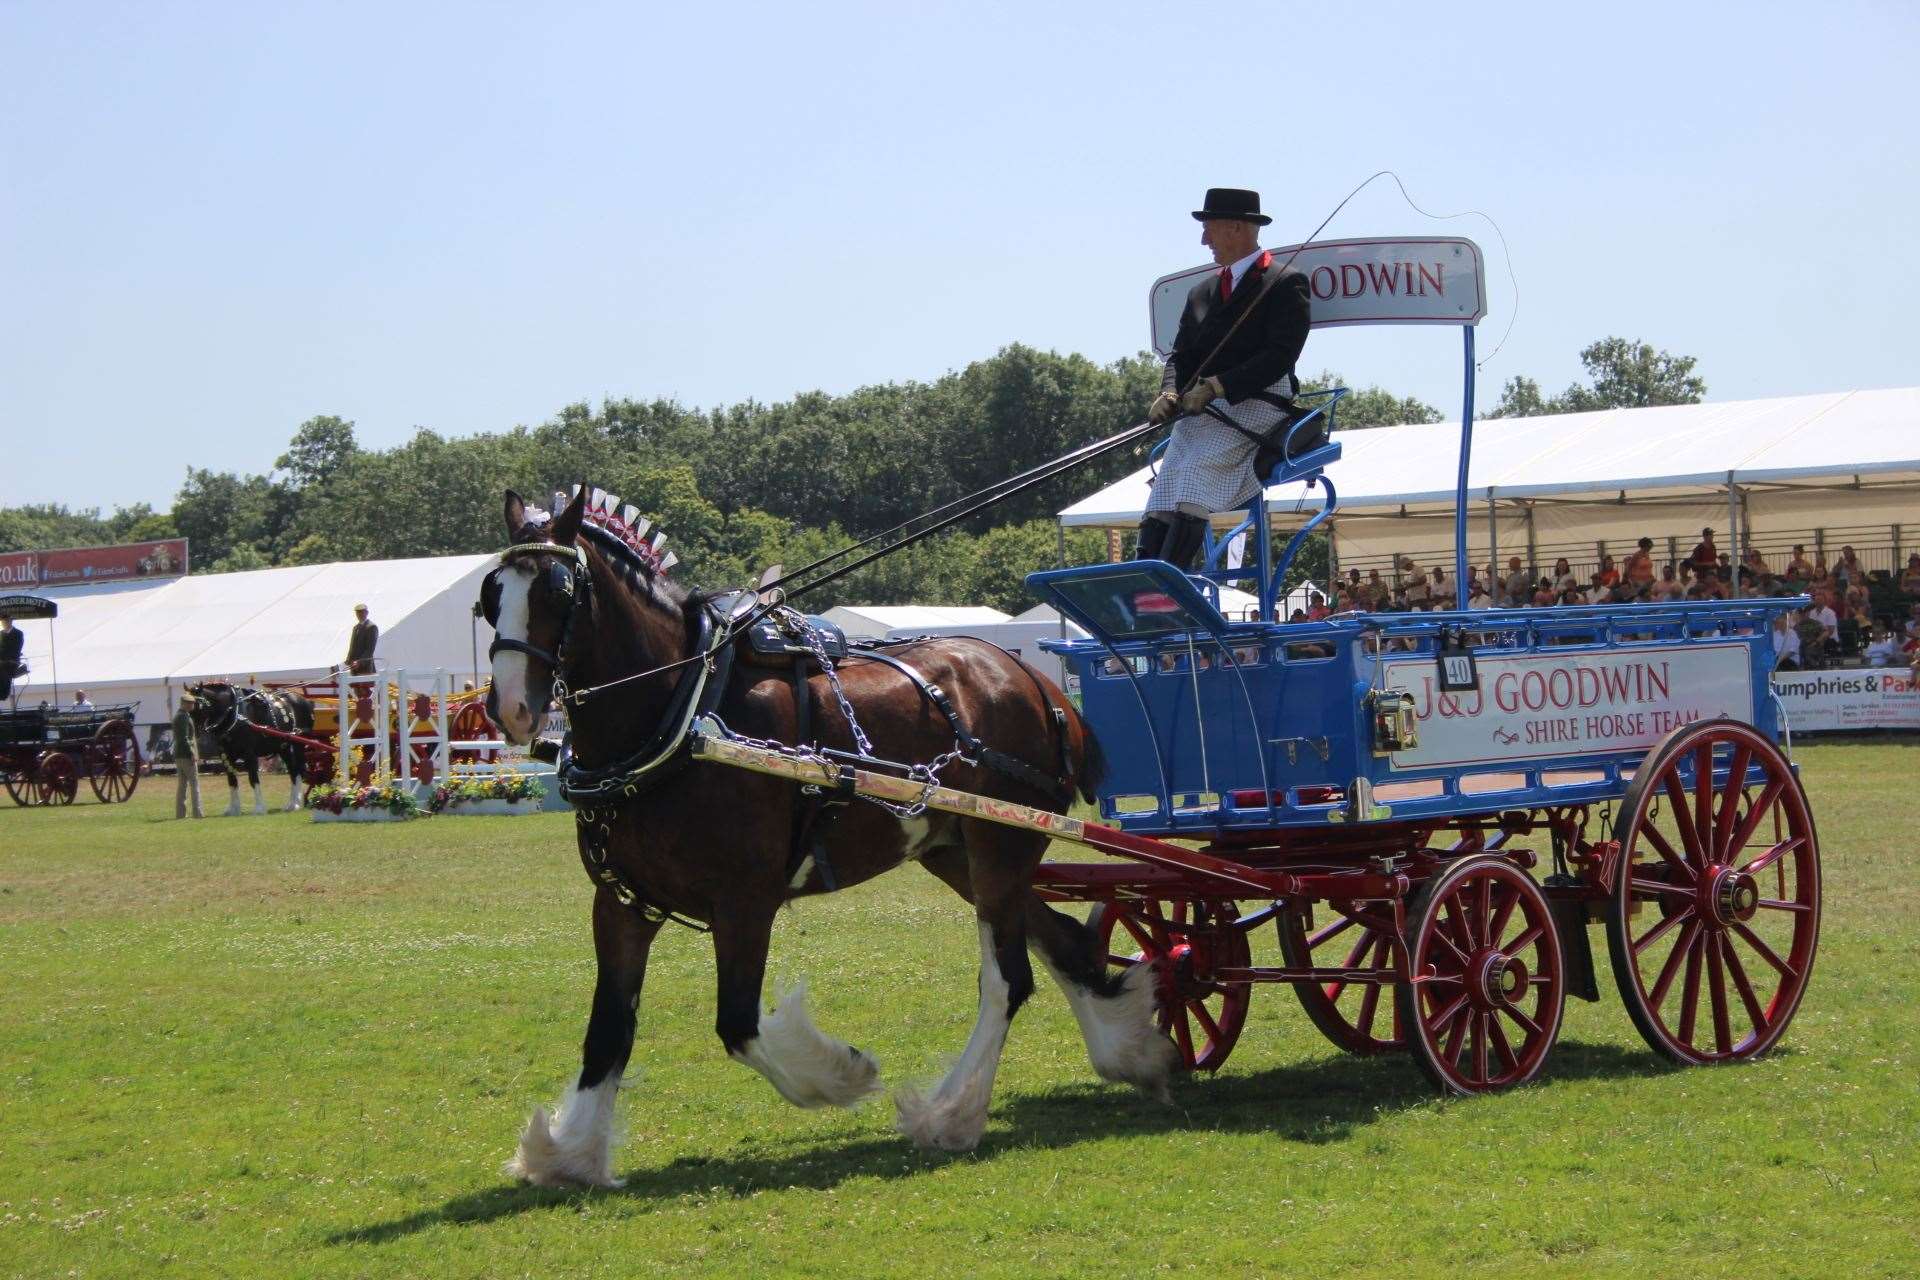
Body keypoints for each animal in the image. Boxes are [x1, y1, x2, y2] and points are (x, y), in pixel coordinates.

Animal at [184, 687, 314, 817]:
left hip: (297, 745)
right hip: (284, 747)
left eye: (199, 706)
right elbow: (232, 781)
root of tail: (304, 700)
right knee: (294, 771)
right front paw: (233, 809)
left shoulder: (250, 755)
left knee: (296, 771)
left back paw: (294, 804)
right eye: (189, 709)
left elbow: (253, 779)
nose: (195, 734)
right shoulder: (226, 756)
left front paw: (259, 808)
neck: (234, 713)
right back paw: (294, 803)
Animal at [487, 485, 1175, 1189]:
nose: (509, 709)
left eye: (557, 592)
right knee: (1062, 943)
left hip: (999, 848)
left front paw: (842, 1075)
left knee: (1008, 979)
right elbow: (608, 1029)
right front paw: (570, 1154)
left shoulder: (745, 900)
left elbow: (739, 1024)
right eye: (491, 595)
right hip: (959, 854)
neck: (684, 711)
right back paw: (1131, 1052)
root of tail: (1036, 683)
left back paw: (950, 1115)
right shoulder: (623, 904)